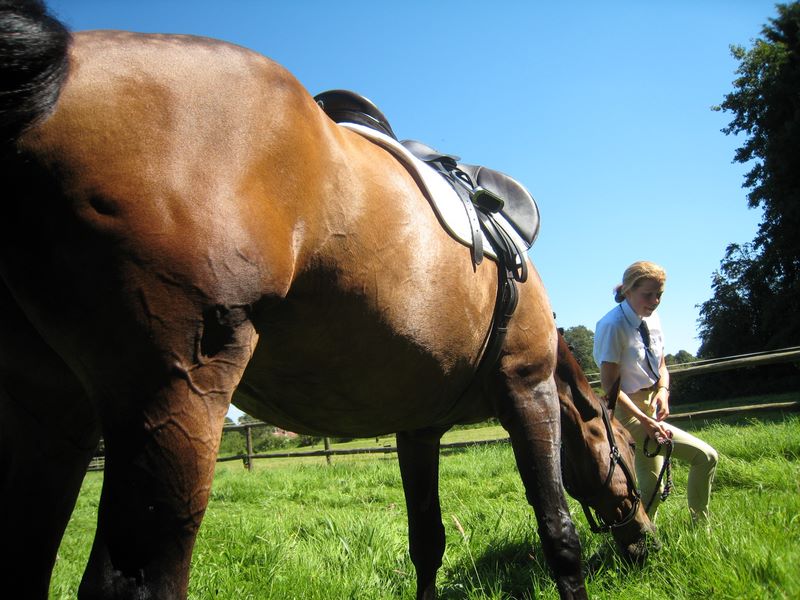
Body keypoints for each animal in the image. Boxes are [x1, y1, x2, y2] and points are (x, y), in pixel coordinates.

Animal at [0, 2, 651, 598]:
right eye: (624, 447)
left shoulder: (419, 429)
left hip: (52, 411)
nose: (644, 538)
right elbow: (559, 534)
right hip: (172, 398)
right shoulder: (526, 389)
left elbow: (428, 543)